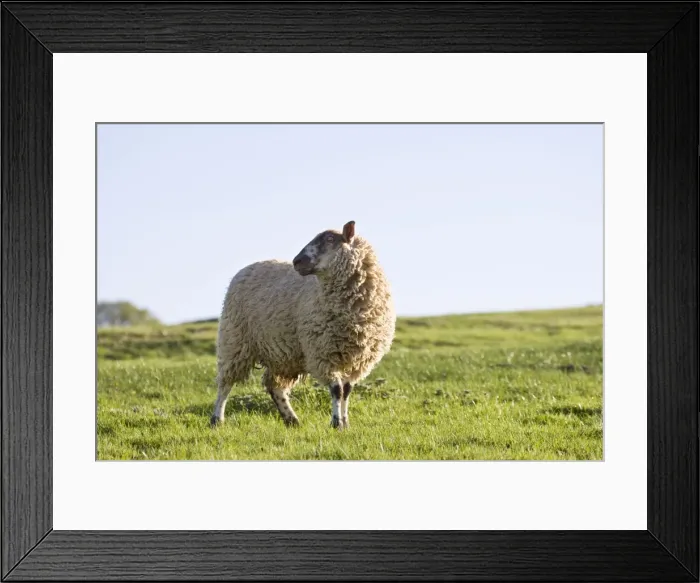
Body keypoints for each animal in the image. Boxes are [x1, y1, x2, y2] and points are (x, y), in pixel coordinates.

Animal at [210, 220, 395, 430]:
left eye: (330, 239)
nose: (297, 261)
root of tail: (247, 268)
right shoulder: (323, 352)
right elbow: (337, 390)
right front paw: (336, 423)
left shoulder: (359, 360)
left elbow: (347, 390)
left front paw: (345, 423)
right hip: (234, 340)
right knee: (225, 384)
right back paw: (217, 419)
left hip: (283, 355)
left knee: (274, 386)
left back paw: (291, 419)